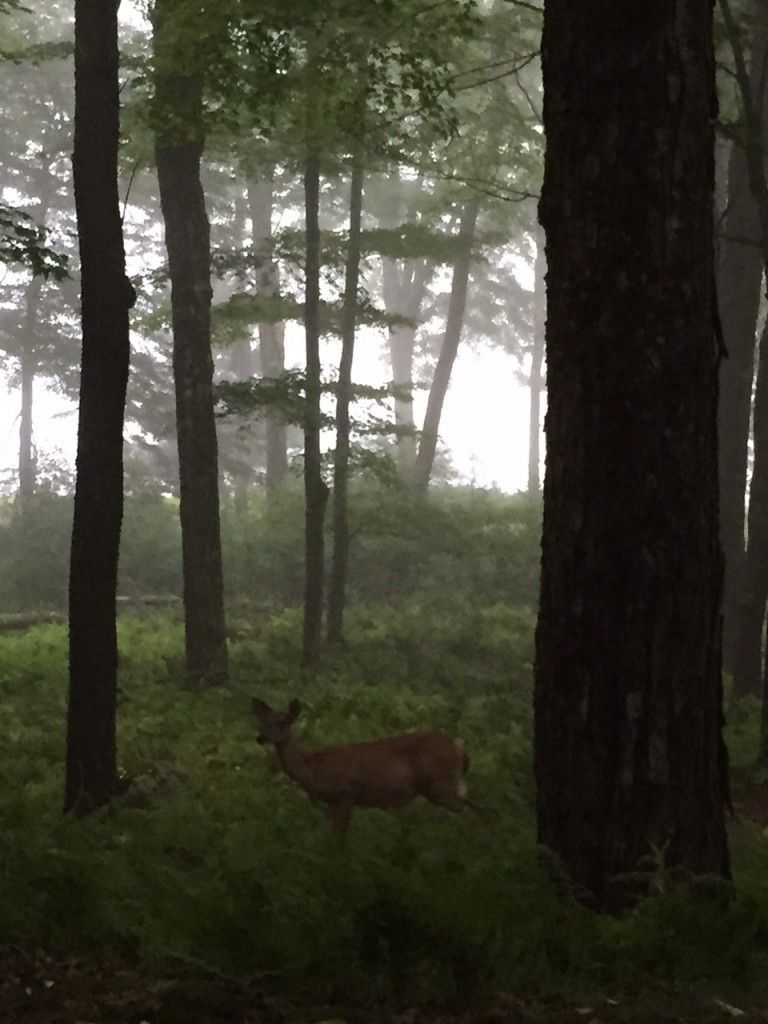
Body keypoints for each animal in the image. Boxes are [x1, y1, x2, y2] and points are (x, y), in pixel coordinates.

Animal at [251, 697, 480, 838]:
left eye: (283, 722)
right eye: (262, 721)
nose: (260, 738)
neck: (310, 765)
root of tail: (460, 747)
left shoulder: (343, 795)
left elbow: (339, 840)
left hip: (439, 784)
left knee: (471, 811)